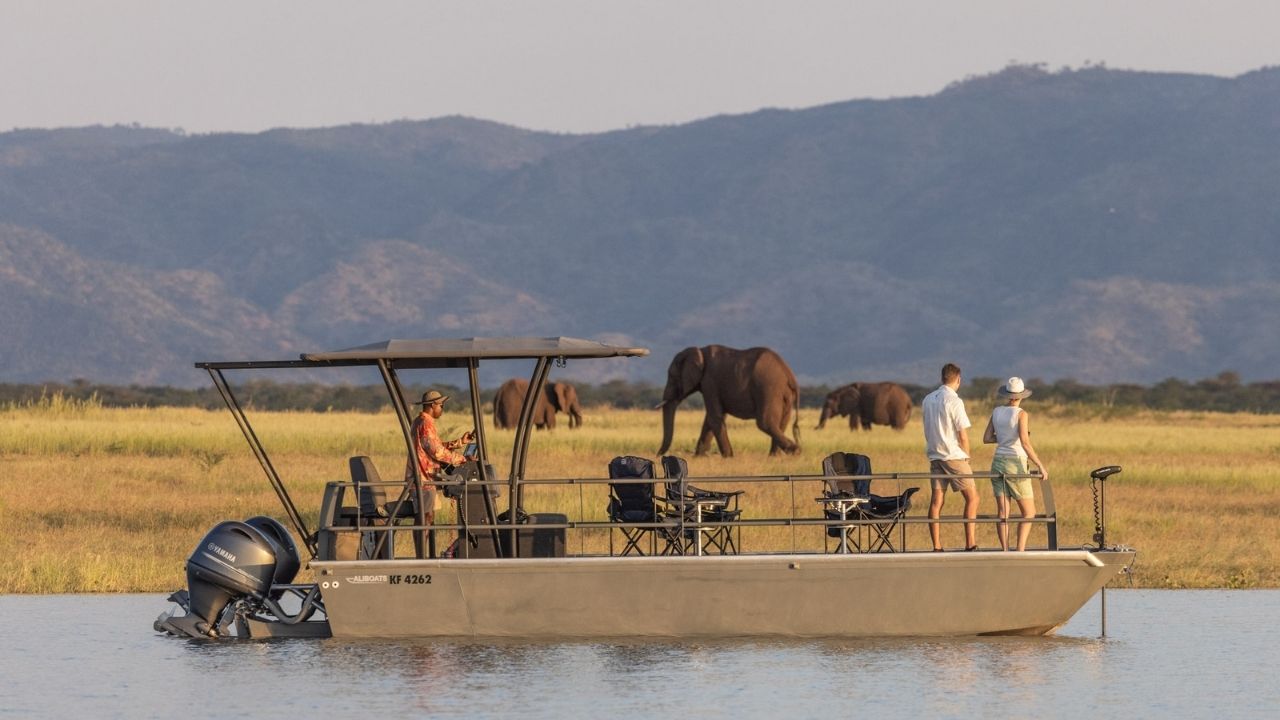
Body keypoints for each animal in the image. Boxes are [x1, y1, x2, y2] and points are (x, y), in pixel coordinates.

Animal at [656, 345, 800, 457]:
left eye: (672, 376)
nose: (658, 456)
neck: (699, 351)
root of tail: (789, 375)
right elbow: (711, 419)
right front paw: (698, 457)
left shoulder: (710, 381)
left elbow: (714, 417)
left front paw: (728, 457)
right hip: (784, 394)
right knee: (781, 423)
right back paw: (774, 457)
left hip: (768, 388)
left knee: (765, 423)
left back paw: (795, 452)